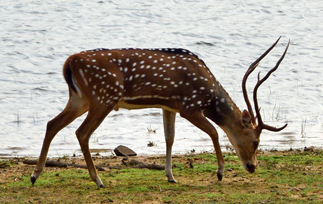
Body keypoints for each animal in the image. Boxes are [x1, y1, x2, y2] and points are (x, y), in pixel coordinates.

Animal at [31, 37, 292, 187]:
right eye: (256, 141)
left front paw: (170, 175)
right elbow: (215, 132)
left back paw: (35, 174)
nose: (252, 167)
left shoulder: (169, 106)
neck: (209, 95)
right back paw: (98, 180)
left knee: (52, 124)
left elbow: (169, 138)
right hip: (103, 97)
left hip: (80, 99)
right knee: (82, 132)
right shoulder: (189, 106)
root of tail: (69, 62)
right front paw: (219, 172)